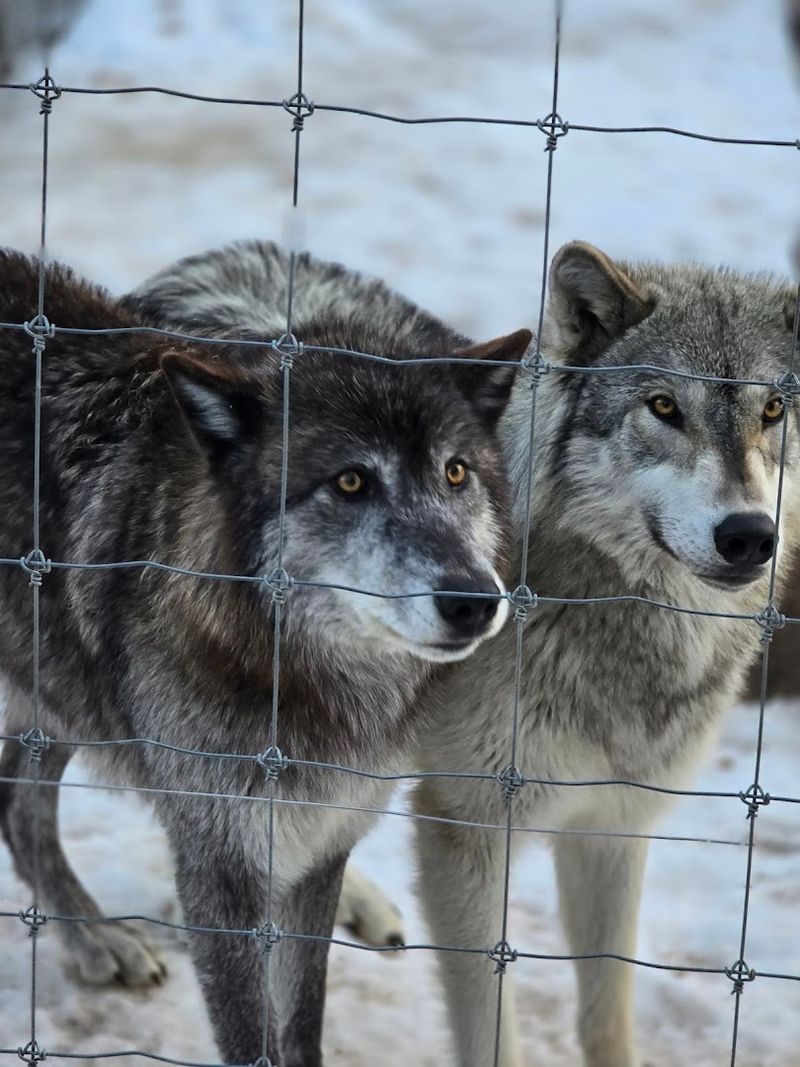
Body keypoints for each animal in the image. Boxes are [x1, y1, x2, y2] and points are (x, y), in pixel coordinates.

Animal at [0, 245, 530, 1065]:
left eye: (455, 471)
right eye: (351, 480)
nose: (475, 600)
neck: (297, 673)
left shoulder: (322, 841)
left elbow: (301, 1019)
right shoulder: (220, 867)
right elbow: (253, 1035)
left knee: (17, 800)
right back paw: (94, 939)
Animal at [411, 240, 800, 1066]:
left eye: (773, 410)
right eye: (663, 407)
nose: (749, 534)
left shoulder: (613, 825)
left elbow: (607, 1012)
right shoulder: (464, 826)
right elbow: (491, 1031)